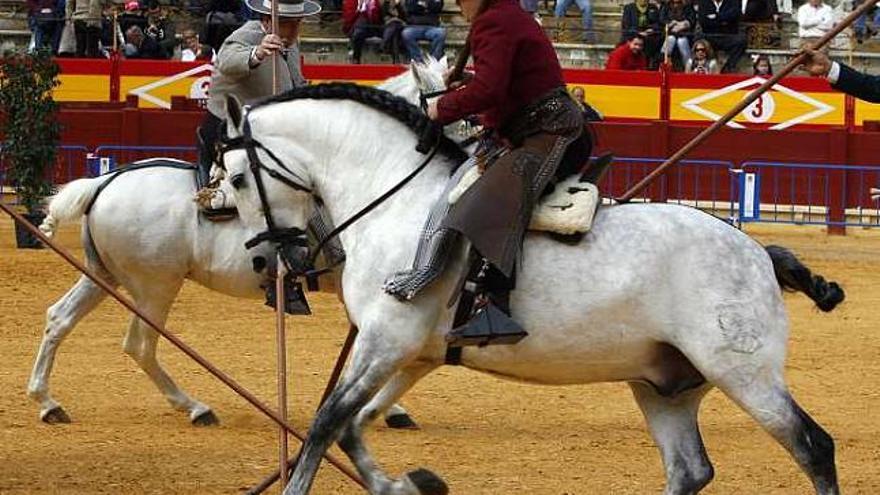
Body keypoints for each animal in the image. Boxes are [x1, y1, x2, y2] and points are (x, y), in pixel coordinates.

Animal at [24, 61, 450, 426]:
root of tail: (103, 182)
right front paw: (386, 409)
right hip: (155, 286)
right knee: (139, 343)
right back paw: (195, 407)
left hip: (103, 275)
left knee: (60, 317)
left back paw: (47, 402)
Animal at [218, 85, 844, 495]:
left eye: (239, 178)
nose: (269, 259)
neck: (394, 199)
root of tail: (759, 252)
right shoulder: (411, 353)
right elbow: (352, 425)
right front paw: (409, 484)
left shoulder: (384, 339)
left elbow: (326, 422)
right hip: (664, 386)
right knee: (690, 470)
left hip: (744, 373)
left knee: (814, 447)